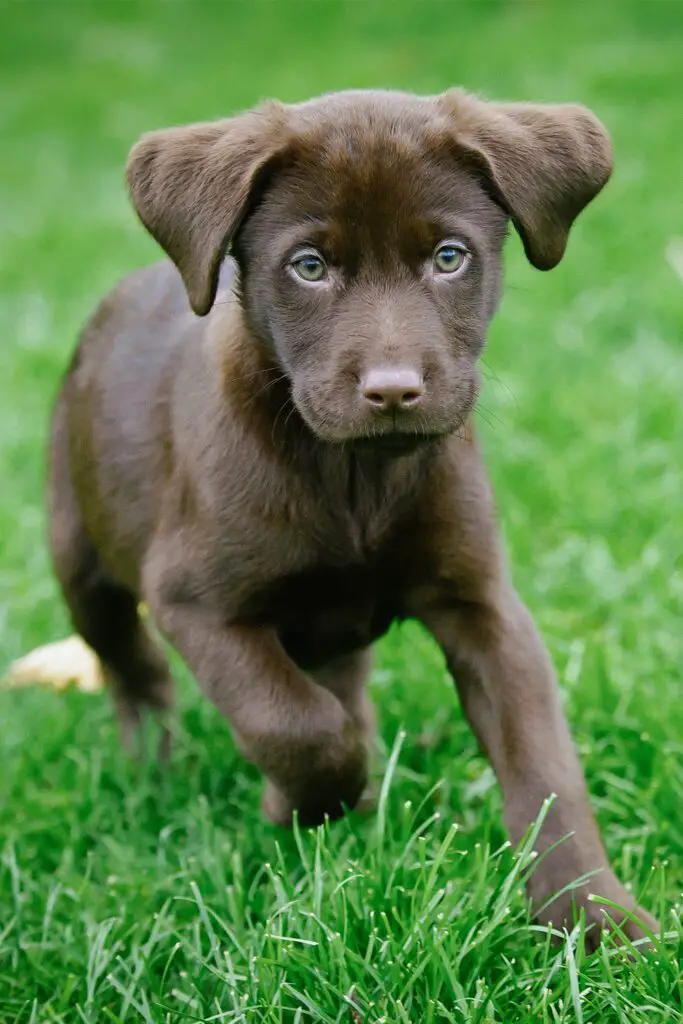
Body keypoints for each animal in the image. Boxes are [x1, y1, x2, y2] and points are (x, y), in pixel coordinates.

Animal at [46, 88, 655, 942]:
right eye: (308, 267)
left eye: (448, 257)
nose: (393, 390)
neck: (353, 475)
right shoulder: (196, 601)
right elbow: (293, 724)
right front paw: (293, 803)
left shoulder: (484, 607)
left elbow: (543, 766)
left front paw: (593, 917)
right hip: (81, 553)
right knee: (132, 665)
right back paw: (151, 774)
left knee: (340, 681)